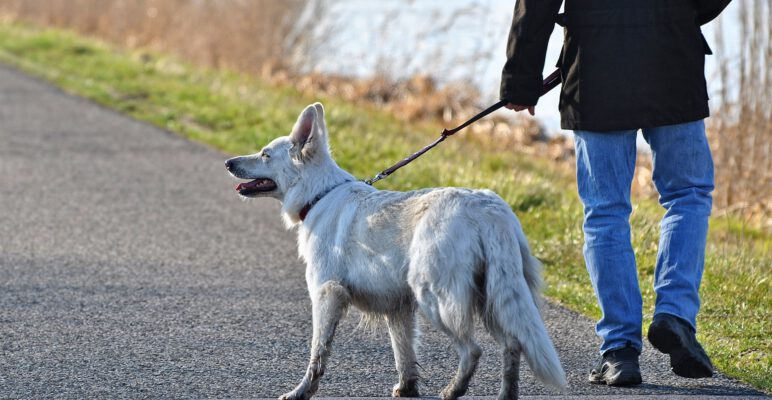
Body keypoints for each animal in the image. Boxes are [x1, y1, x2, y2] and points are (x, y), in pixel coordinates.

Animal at [225, 104, 568, 400]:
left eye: (265, 154)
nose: (228, 163)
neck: (319, 194)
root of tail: (488, 208)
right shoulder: (398, 308)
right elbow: (404, 354)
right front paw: (407, 389)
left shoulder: (327, 294)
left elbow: (318, 353)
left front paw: (301, 392)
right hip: (494, 297)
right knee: (512, 345)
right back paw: (504, 395)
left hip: (436, 298)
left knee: (473, 350)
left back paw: (452, 391)